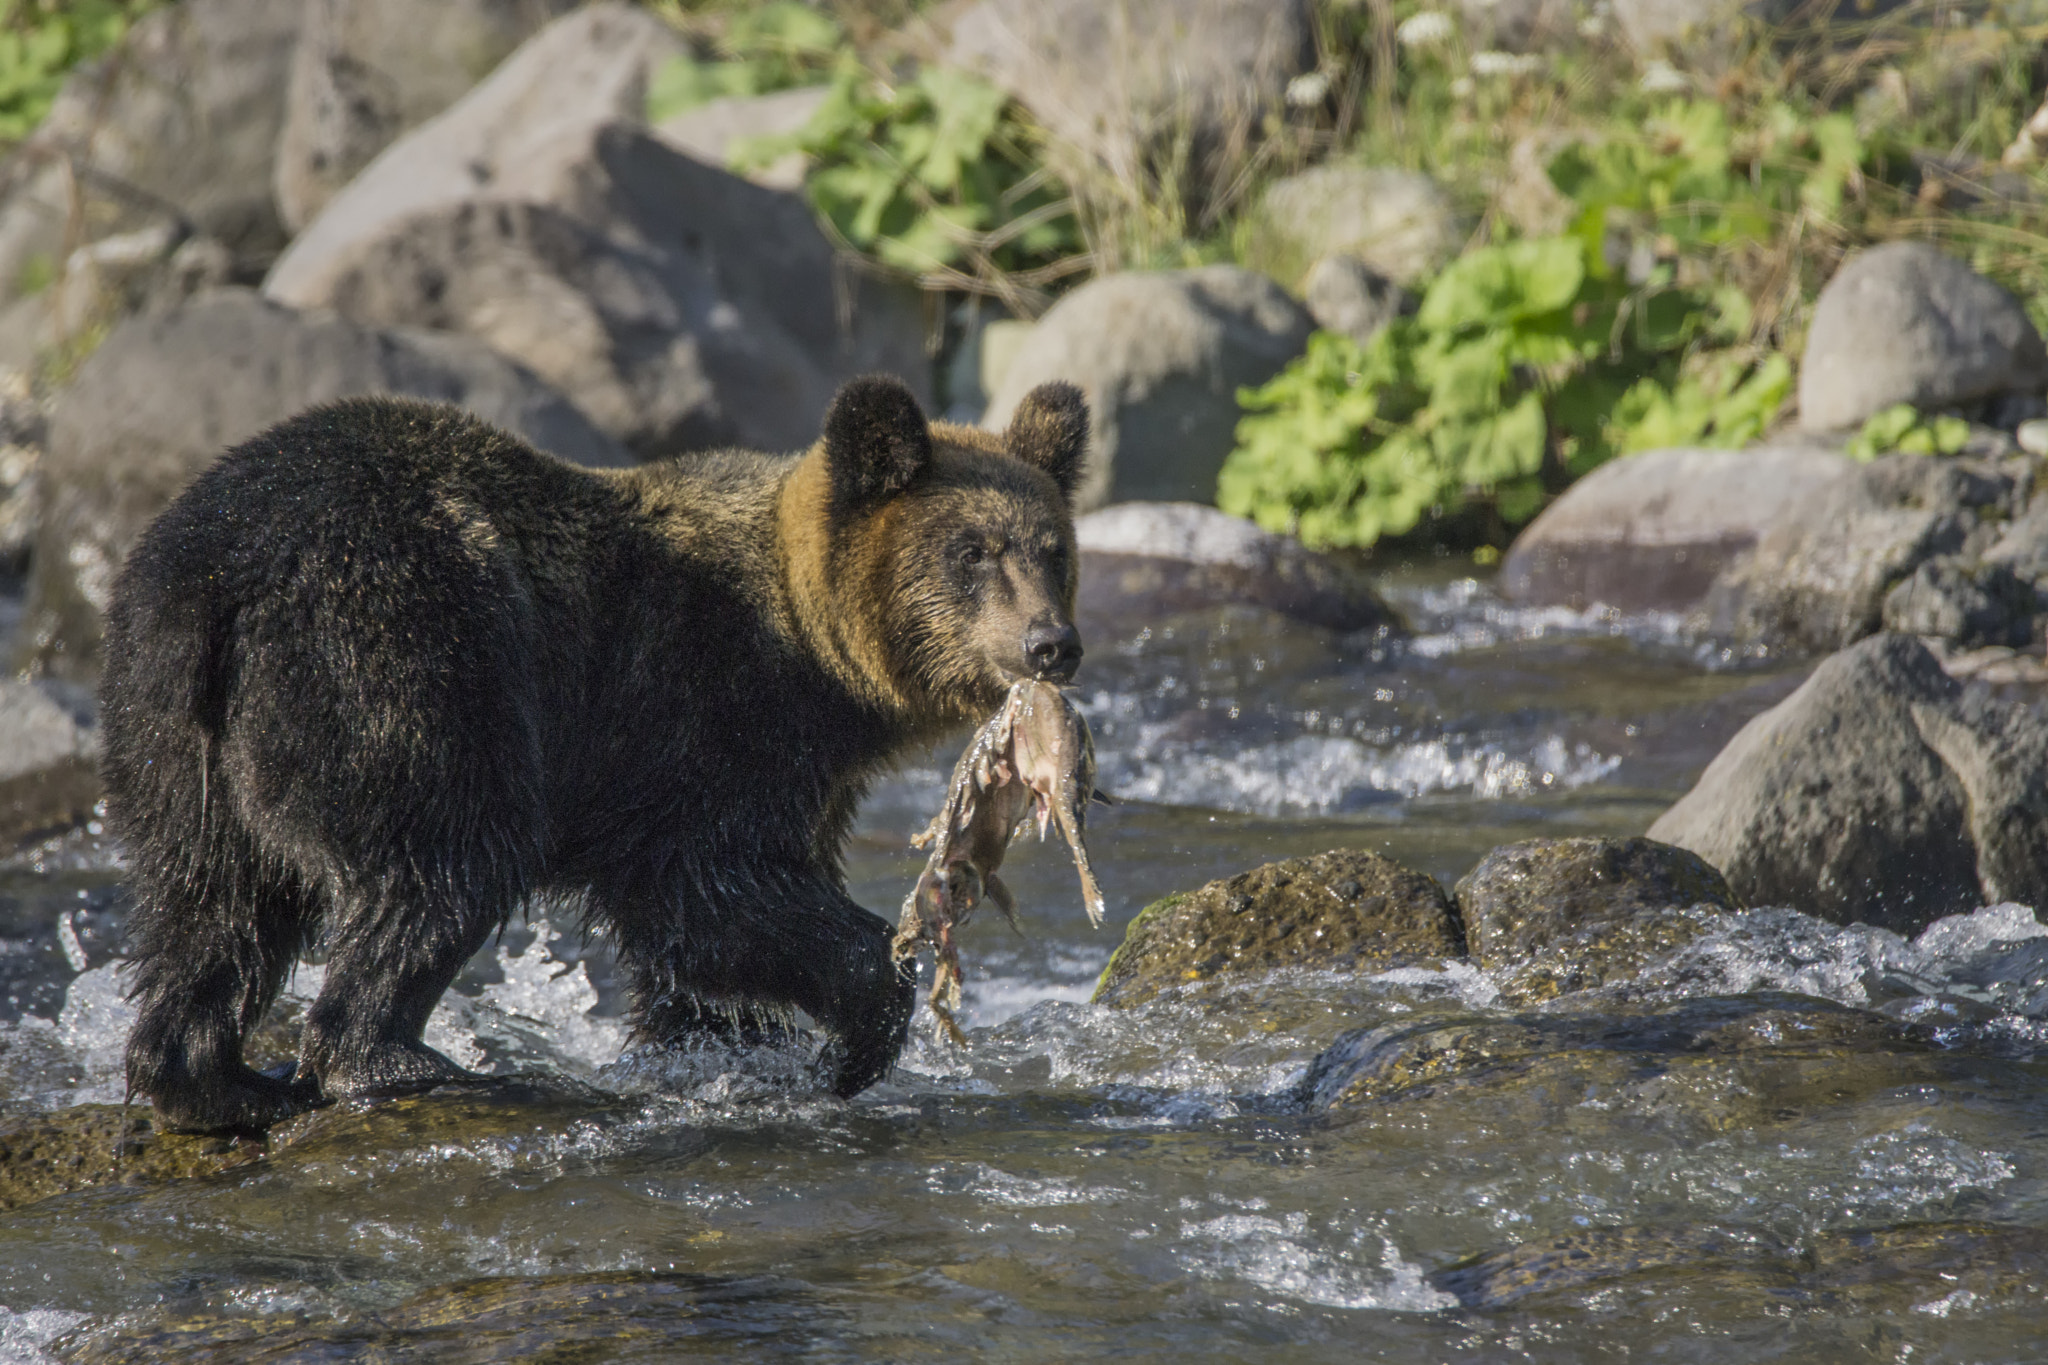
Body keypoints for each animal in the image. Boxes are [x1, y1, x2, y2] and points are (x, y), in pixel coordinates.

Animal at [99, 374, 1089, 1129]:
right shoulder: (700, 718)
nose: (1052, 643)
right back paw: (406, 1062)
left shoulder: (789, 773)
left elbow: (695, 953)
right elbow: (712, 895)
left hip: (170, 734)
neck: (818, 664)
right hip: (404, 659)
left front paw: (725, 1053)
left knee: (212, 905)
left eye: (1054, 549)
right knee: (445, 862)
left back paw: (216, 1081)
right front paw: (848, 1041)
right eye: (973, 551)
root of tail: (220, 575)